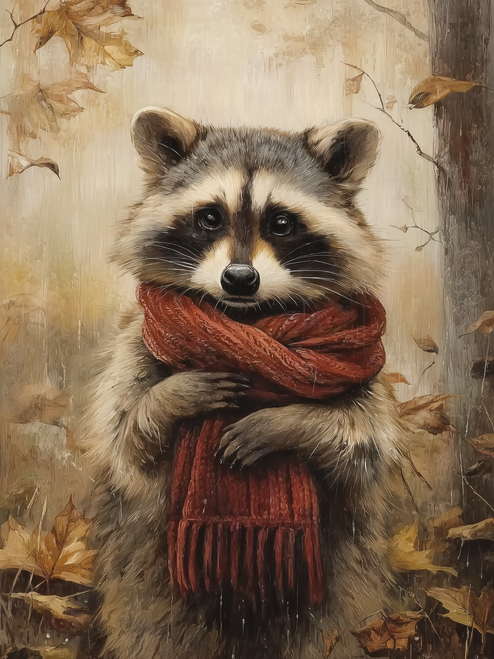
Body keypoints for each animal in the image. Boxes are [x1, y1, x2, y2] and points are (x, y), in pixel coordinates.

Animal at [85, 108, 406, 659]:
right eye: (210, 217)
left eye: (282, 223)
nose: (239, 279)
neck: (247, 321)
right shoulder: (136, 345)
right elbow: (128, 441)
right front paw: (174, 396)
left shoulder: (368, 384)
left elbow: (362, 448)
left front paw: (285, 423)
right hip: (144, 584)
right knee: (153, 629)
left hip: (343, 585)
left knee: (332, 628)